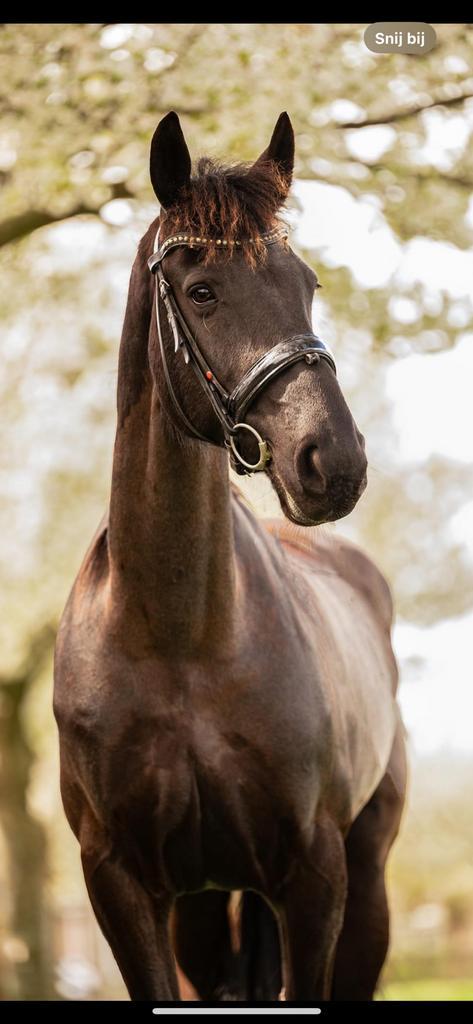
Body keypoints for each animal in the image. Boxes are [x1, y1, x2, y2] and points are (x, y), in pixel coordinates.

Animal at [53, 111, 407, 1002]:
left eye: (306, 283)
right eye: (201, 290)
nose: (332, 461)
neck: (178, 639)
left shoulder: (314, 879)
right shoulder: (123, 883)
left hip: (365, 885)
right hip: (207, 911)